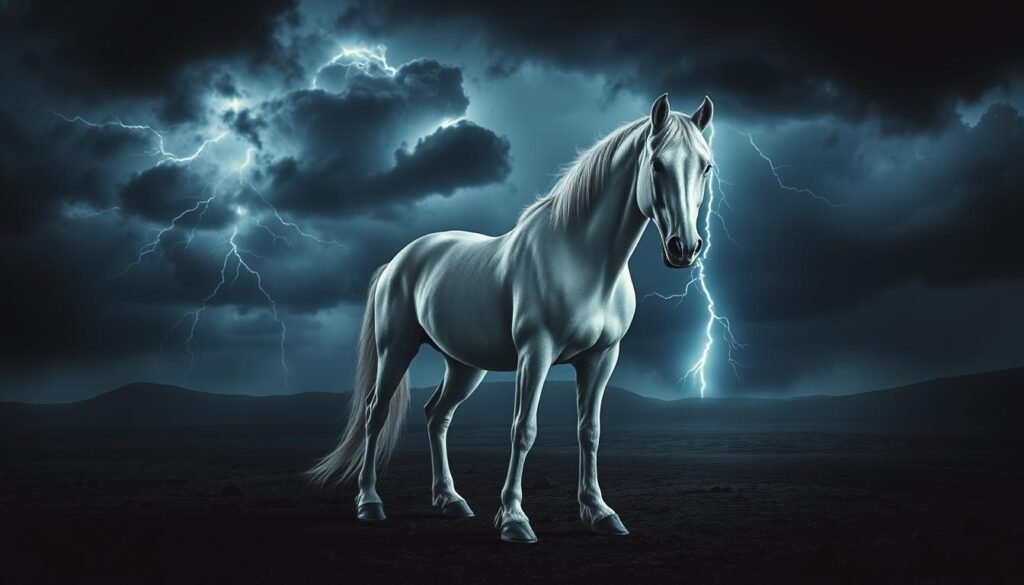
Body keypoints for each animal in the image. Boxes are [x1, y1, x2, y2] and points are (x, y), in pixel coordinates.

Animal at [309, 93, 714, 543]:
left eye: (706, 166)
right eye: (657, 164)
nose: (684, 248)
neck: (584, 261)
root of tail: (398, 261)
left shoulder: (602, 358)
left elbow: (589, 431)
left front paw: (600, 512)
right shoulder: (535, 354)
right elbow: (524, 429)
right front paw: (514, 519)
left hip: (464, 366)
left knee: (437, 416)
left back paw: (450, 500)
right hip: (396, 350)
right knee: (375, 413)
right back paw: (369, 502)